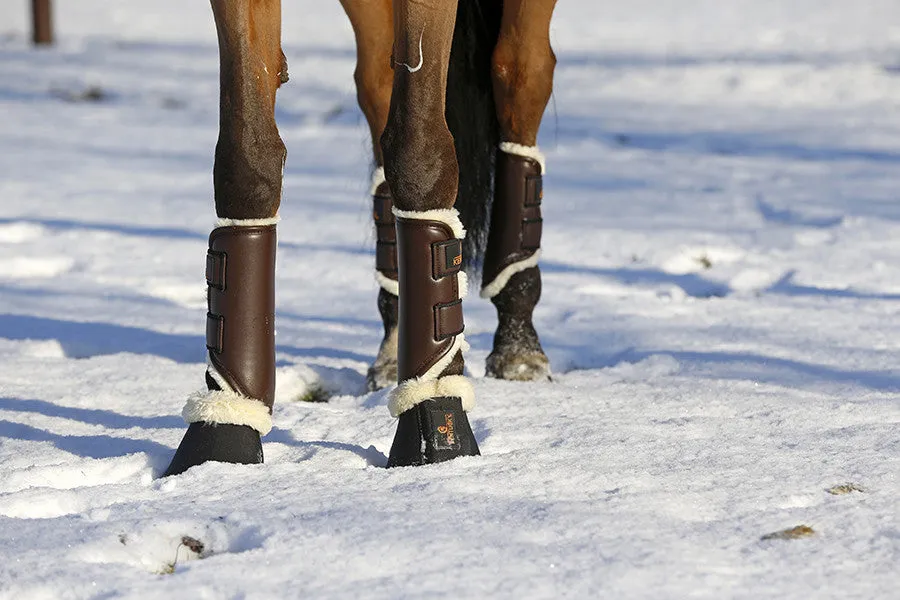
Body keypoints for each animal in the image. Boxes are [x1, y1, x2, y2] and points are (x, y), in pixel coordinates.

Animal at [163, 1, 556, 478]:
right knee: (379, 87)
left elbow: (420, 152)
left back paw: (518, 337)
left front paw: (435, 415)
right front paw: (223, 432)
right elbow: (246, 159)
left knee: (521, 73)